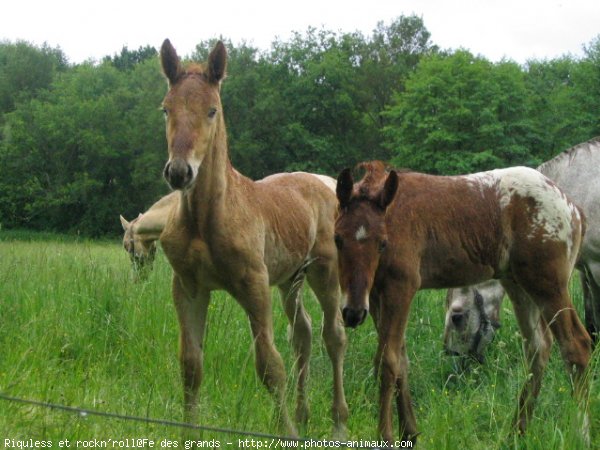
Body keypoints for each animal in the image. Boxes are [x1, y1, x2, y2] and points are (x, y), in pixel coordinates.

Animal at [157, 40, 350, 438]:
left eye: (212, 110)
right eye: (166, 109)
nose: (180, 172)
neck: (205, 219)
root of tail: (323, 184)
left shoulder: (254, 283)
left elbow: (269, 365)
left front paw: (287, 434)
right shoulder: (188, 286)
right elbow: (190, 365)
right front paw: (188, 435)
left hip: (325, 272)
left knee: (334, 336)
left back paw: (338, 422)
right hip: (291, 277)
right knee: (303, 333)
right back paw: (304, 414)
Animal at [336, 161, 592, 442]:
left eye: (382, 243)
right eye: (338, 239)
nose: (352, 313)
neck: (393, 214)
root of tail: (574, 209)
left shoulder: (400, 286)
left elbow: (388, 360)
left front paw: (387, 436)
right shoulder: (374, 296)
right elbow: (401, 359)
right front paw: (410, 433)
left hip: (549, 285)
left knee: (576, 345)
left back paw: (581, 434)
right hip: (519, 285)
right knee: (538, 347)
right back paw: (516, 433)